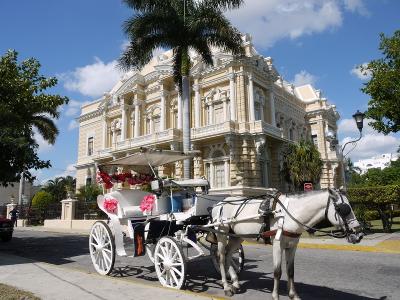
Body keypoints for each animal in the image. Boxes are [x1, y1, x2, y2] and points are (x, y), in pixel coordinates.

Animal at [211, 189, 364, 298]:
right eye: (342, 209)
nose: (359, 234)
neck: (289, 214)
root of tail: (218, 204)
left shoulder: (292, 245)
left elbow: (290, 271)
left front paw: (293, 295)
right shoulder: (277, 245)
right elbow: (277, 272)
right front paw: (275, 296)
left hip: (237, 236)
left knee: (229, 254)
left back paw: (235, 282)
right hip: (221, 233)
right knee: (221, 257)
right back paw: (226, 286)